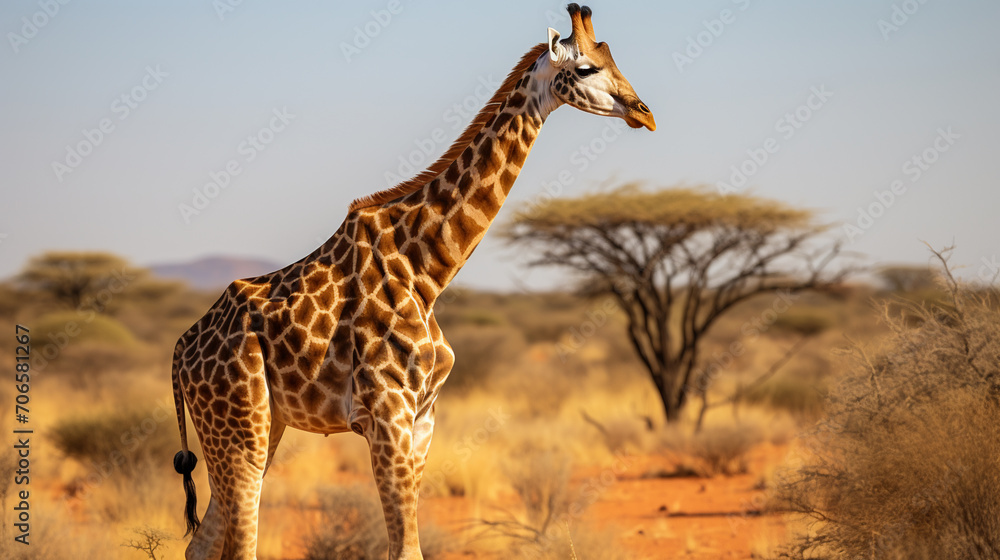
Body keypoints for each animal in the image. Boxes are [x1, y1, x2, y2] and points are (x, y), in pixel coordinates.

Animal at [171, 5, 654, 559]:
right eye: (587, 68)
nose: (644, 113)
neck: (428, 271)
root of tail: (181, 351)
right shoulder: (386, 415)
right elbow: (406, 548)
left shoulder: (423, 419)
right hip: (239, 431)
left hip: (260, 429)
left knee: (201, 543)